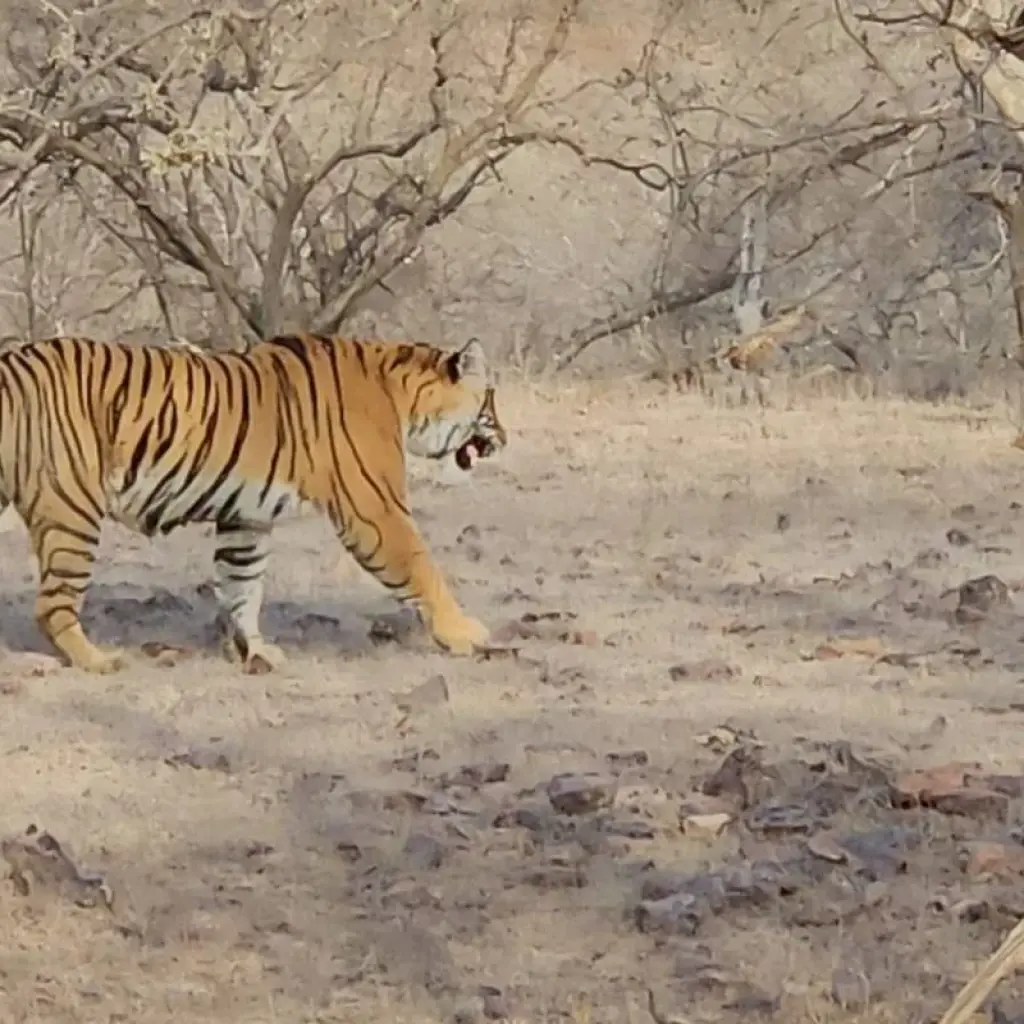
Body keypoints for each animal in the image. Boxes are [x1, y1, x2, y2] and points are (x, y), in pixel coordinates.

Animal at [0, 332, 508, 674]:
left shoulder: (246, 517)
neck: (400, 395)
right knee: (53, 605)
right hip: (73, 512)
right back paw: (100, 660)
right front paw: (466, 634)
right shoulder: (375, 510)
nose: (503, 437)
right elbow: (423, 570)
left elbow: (242, 586)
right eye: (490, 402)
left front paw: (256, 652)